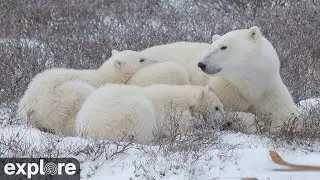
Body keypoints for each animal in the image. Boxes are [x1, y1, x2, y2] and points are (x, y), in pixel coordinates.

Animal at [75, 84, 225, 142]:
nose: (225, 121)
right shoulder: (172, 114)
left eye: (221, 106)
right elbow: (182, 125)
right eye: (216, 108)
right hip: (129, 111)